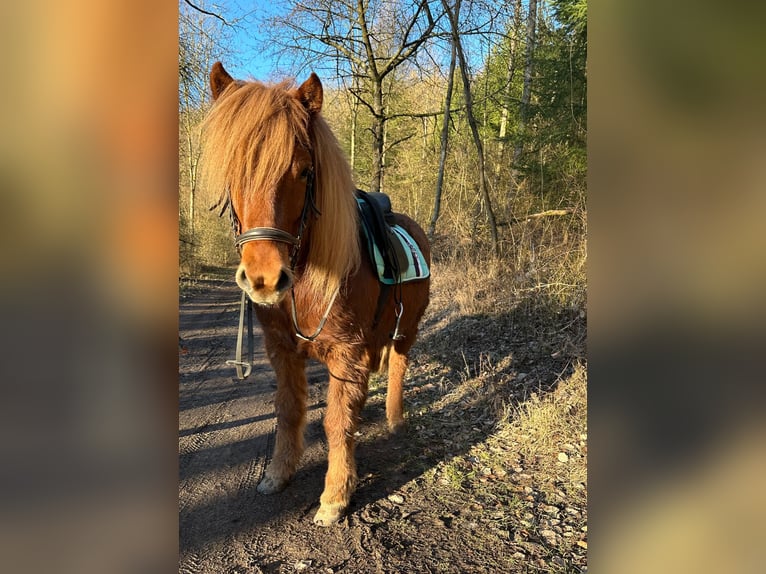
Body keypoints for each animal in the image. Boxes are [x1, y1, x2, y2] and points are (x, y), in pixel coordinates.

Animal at [201, 63, 432, 528]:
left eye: (305, 172)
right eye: (233, 170)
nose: (265, 278)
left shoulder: (347, 354)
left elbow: (337, 422)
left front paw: (335, 497)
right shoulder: (282, 351)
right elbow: (289, 411)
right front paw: (278, 474)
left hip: (407, 329)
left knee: (399, 365)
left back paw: (396, 418)